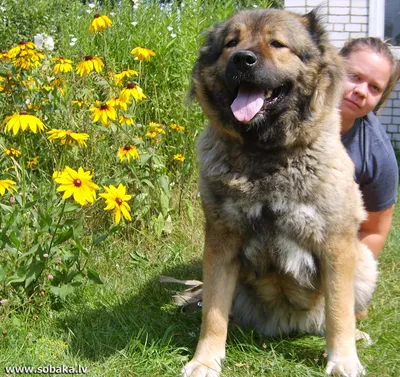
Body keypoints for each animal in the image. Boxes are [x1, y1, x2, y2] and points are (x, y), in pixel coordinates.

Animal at [183, 6, 380, 376]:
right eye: (231, 43)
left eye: (277, 44)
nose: (242, 59)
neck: (267, 156)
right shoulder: (221, 241)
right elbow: (213, 313)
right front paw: (205, 360)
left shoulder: (336, 243)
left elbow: (339, 311)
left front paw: (343, 359)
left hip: (364, 259)